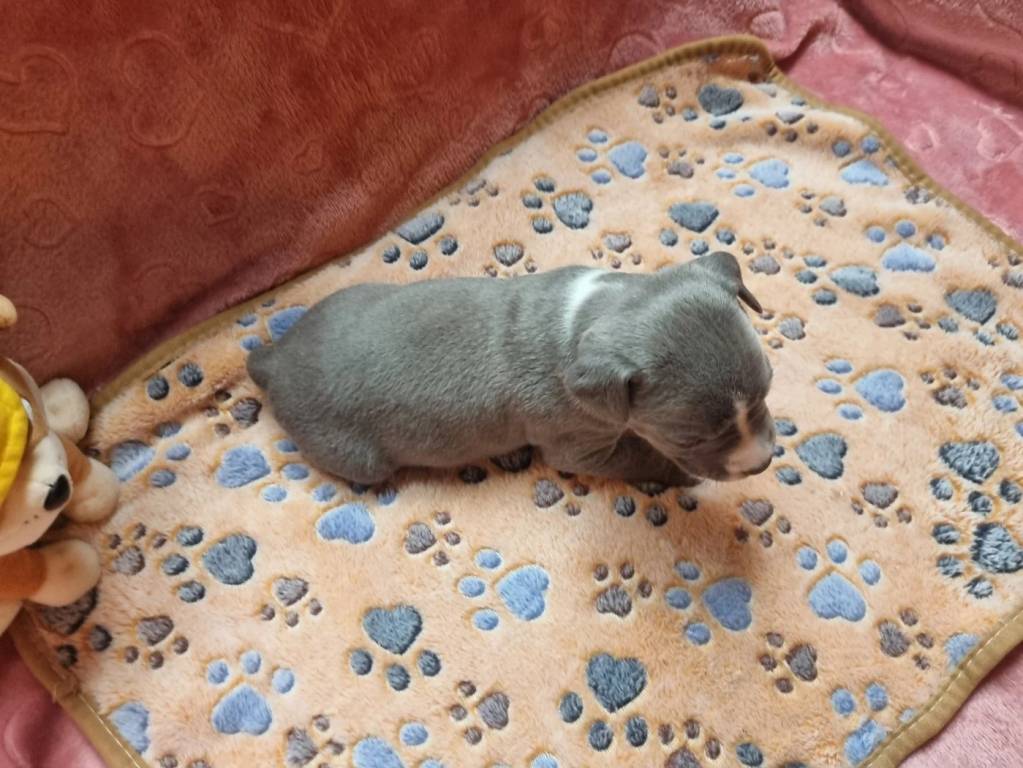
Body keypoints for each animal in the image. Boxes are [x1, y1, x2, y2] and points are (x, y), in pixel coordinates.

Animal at [247, 251, 775, 487]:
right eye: (689, 437)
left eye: (769, 386)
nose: (763, 462)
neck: (585, 316)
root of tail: (273, 360)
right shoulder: (577, 446)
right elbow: (634, 456)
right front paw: (678, 476)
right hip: (356, 457)